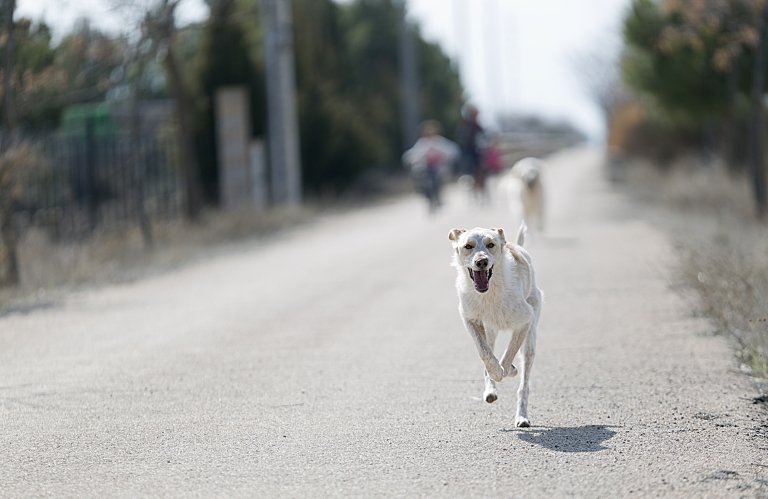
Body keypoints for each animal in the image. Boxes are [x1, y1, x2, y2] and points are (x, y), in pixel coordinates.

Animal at [448, 225, 544, 428]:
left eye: (490, 244)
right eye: (468, 246)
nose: (482, 262)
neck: (489, 293)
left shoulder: (525, 320)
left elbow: (508, 356)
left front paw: (506, 371)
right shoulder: (470, 320)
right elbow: (485, 354)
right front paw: (494, 373)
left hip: (530, 343)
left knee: (524, 385)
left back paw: (522, 417)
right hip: (490, 331)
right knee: (489, 353)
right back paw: (490, 391)